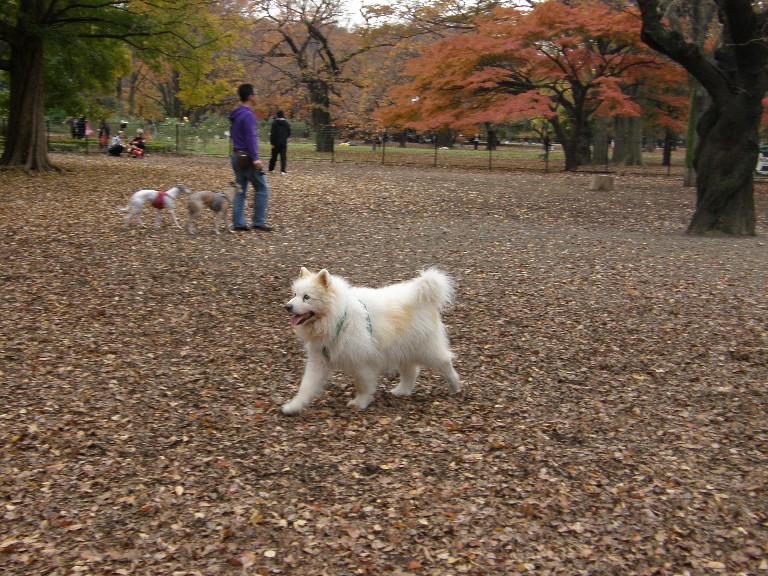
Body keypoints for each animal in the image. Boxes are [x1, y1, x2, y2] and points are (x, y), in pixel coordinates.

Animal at [284, 266, 460, 414]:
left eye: (307, 297)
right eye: (294, 295)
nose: (287, 306)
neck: (339, 318)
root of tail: (423, 298)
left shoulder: (361, 362)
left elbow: (363, 385)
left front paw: (359, 402)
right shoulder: (319, 360)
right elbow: (306, 385)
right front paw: (293, 406)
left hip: (425, 349)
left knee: (444, 362)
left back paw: (456, 385)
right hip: (403, 350)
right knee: (411, 372)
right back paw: (401, 391)